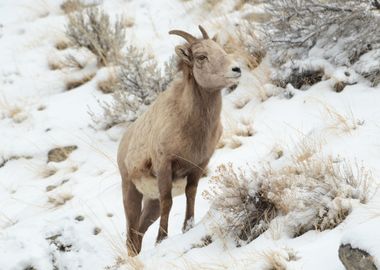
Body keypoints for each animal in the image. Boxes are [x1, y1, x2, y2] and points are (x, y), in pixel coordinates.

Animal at [116, 25, 240, 255]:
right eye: (201, 57)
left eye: (221, 50)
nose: (236, 69)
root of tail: (123, 143)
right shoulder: (164, 165)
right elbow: (168, 202)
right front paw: (161, 240)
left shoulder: (198, 166)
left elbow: (191, 194)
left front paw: (187, 227)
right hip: (131, 191)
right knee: (131, 234)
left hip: (151, 203)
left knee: (139, 233)